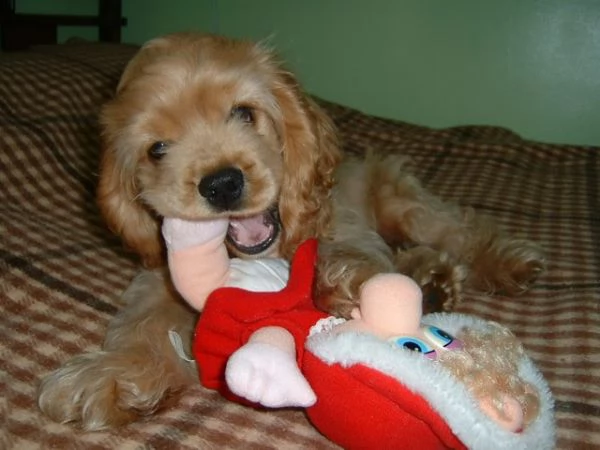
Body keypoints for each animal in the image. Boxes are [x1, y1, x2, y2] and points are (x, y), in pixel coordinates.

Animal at [37, 33, 544, 430]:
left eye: (244, 113)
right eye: (157, 149)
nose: (221, 184)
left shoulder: (344, 226)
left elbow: (350, 255)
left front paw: (345, 285)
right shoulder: (157, 278)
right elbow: (143, 324)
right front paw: (112, 376)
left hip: (401, 201)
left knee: (459, 228)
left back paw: (504, 262)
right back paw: (431, 279)